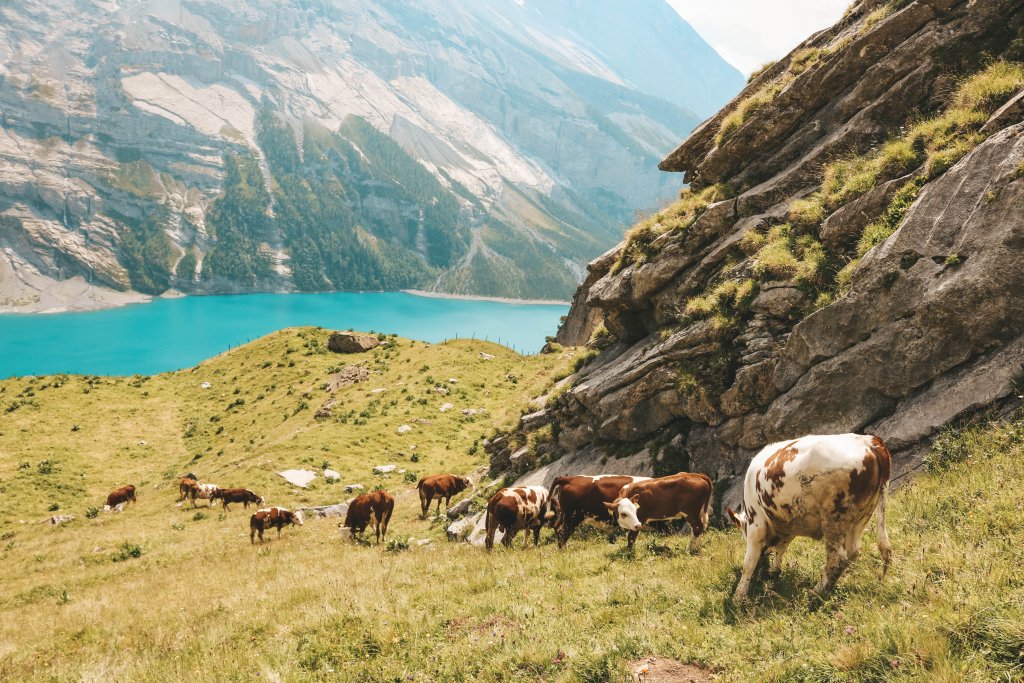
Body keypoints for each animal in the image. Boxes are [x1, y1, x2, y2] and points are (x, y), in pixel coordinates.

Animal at [724, 436, 892, 602]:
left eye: (743, 532)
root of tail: (868, 441)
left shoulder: (756, 523)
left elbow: (749, 562)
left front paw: (739, 595)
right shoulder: (788, 526)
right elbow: (781, 548)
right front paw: (774, 570)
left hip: (834, 518)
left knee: (836, 558)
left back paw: (817, 592)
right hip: (862, 516)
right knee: (852, 552)